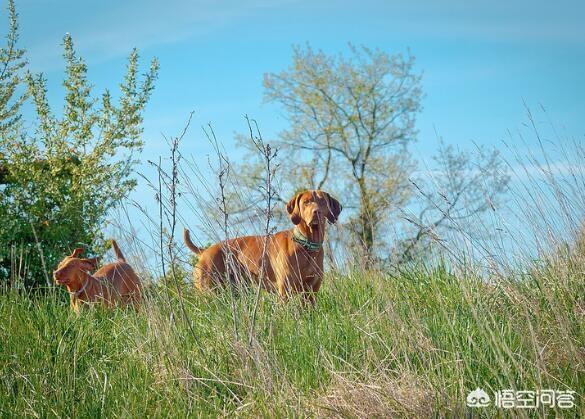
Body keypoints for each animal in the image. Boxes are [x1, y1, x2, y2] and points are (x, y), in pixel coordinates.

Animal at [184, 189, 342, 304]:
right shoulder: (285, 291)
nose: (317, 212)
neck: (306, 246)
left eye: (322, 201)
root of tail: (204, 251)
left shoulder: (310, 292)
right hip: (209, 290)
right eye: (306, 202)